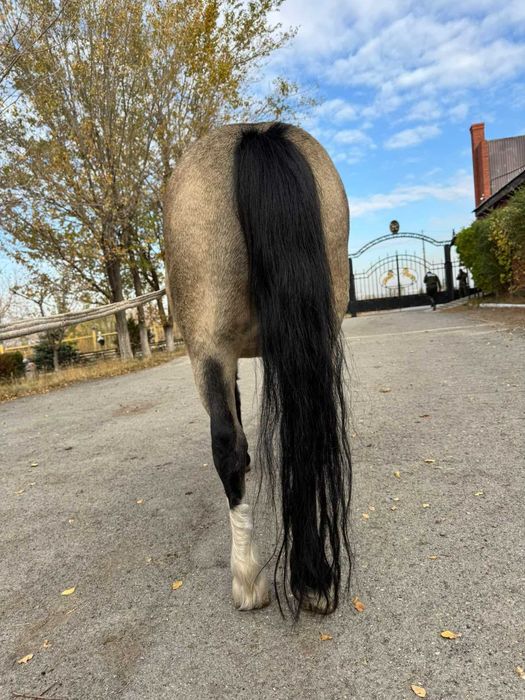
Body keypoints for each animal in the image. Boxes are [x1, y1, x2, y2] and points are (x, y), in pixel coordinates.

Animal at [163, 122, 352, 617]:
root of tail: (256, 133)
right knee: (305, 432)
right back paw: (313, 580)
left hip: (206, 350)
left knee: (227, 446)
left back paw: (248, 578)